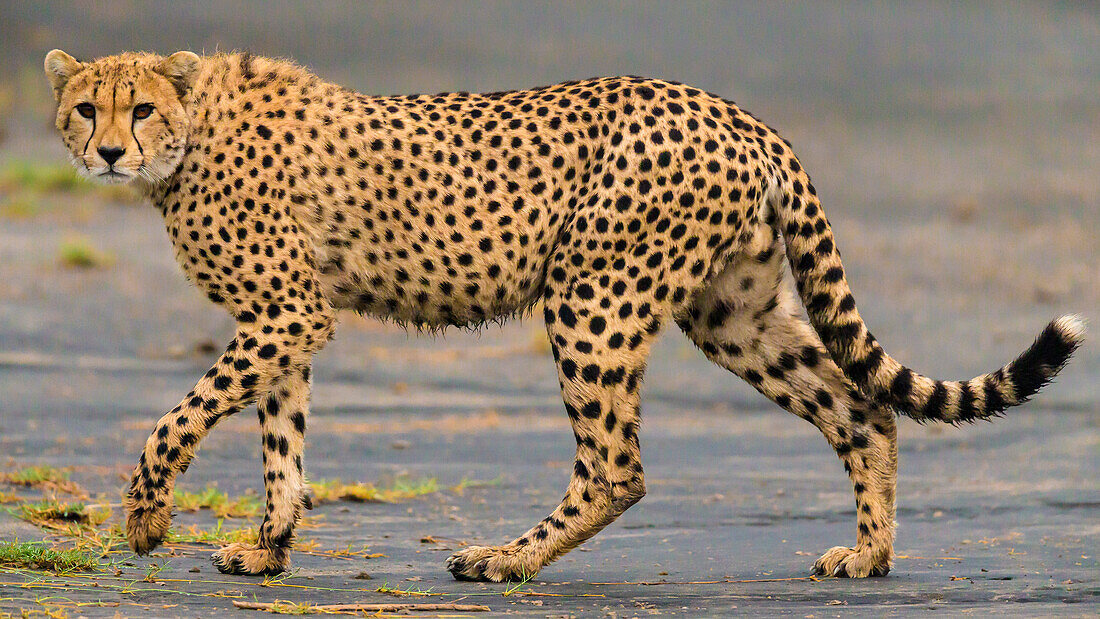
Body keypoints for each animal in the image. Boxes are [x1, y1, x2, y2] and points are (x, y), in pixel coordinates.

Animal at [45, 48, 1082, 580]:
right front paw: (269, 545)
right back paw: (868, 554)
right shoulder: (286, 322)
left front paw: (146, 519)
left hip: (591, 297)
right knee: (860, 407)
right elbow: (281, 444)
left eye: (138, 109)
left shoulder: (286, 314)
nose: (105, 151)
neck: (194, 129)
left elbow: (177, 419)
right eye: (85, 109)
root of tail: (736, 112)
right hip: (731, 313)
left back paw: (505, 559)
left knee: (616, 467)